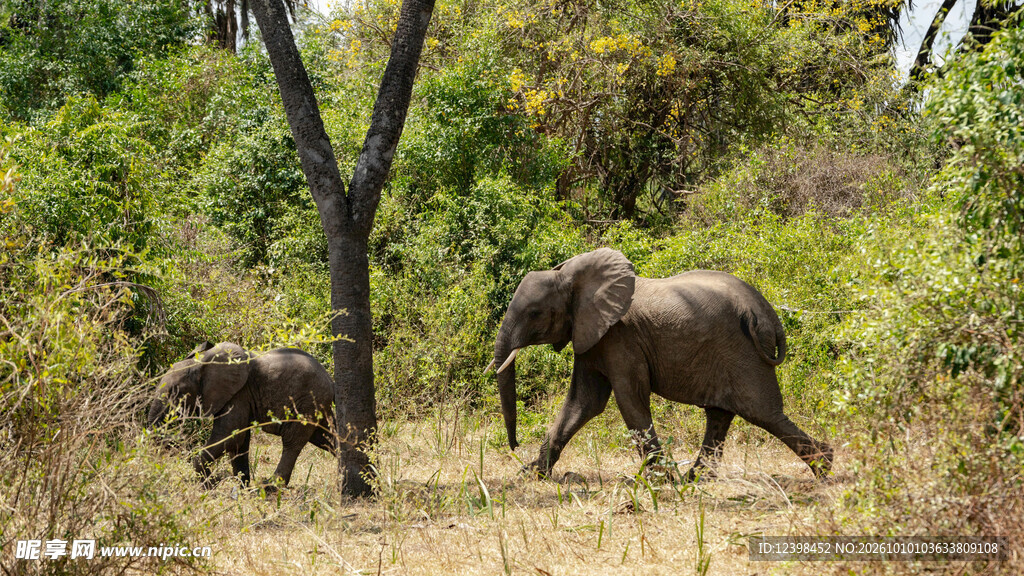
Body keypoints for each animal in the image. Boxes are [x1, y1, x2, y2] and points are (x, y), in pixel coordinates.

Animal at [148, 341, 336, 488]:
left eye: (175, 392)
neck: (202, 363)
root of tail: (331, 381)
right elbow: (239, 441)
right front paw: (242, 487)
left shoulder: (239, 394)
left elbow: (231, 436)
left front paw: (209, 486)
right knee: (326, 438)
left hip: (308, 403)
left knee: (292, 442)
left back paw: (269, 487)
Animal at [487, 248, 833, 481]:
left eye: (534, 313)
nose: (515, 447)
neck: (571, 276)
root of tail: (772, 316)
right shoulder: (591, 336)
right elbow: (583, 403)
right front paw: (532, 474)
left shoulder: (620, 337)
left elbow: (629, 400)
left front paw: (658, 481)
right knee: (721, 414)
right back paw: (695, 480)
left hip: (745, 354)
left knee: (762, 412)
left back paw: (825, 469)